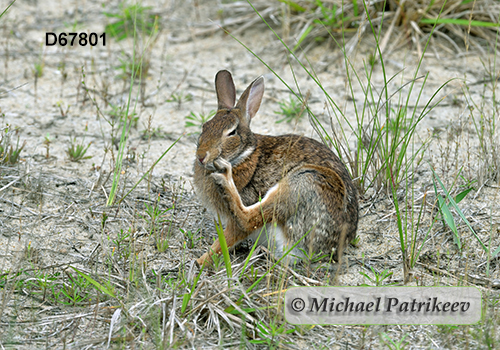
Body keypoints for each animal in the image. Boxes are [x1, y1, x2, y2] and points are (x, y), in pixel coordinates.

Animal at [193, 69, 358, 266]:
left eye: (232, 132)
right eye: (205, 126)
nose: (201, 156)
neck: (243, 155)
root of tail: (326, 249)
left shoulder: (237, 217)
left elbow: (229, 238)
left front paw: (201, 261)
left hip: (302, 182)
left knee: (248, 218)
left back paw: (225, 178)